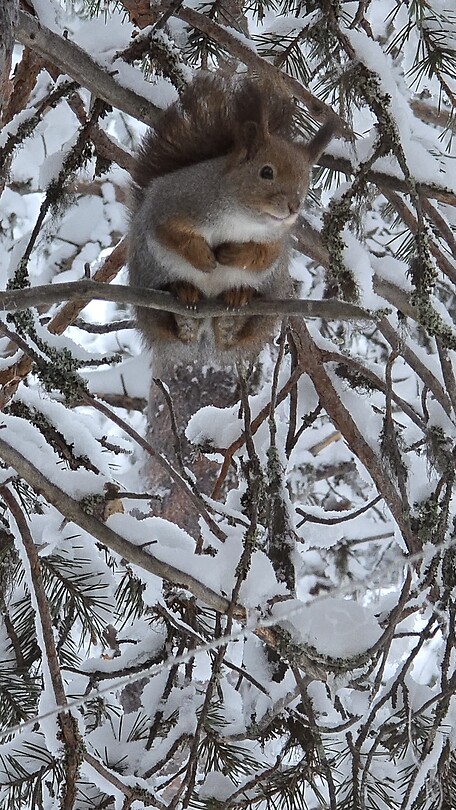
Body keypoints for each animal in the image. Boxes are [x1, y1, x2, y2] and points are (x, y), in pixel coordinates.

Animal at [128, 73, 336, 365]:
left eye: (307, 180)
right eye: (266, 172)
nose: (294, 207)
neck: (242, 218)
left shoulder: (276, 240)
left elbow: (264, 256)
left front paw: (232, 255)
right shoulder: (173, 205)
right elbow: (170, 233)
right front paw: (204, 257)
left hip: (268, 298)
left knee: (238, 333)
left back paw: (233, 312)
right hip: (148, 280)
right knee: (166, 323)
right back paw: (183, 297)